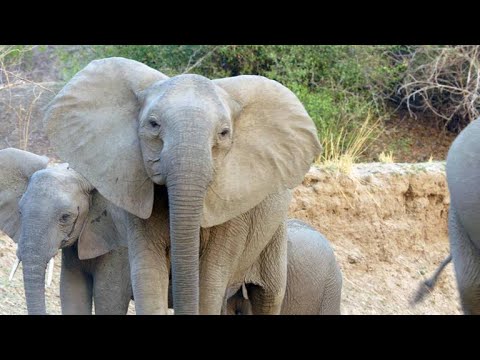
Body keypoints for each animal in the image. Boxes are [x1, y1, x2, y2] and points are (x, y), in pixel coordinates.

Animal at [44, 57, 322, 314]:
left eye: (224, 133)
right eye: (153, 124)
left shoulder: (234, 214)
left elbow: (210, 282)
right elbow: (149, 275)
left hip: (274, 233)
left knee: (268, 296)